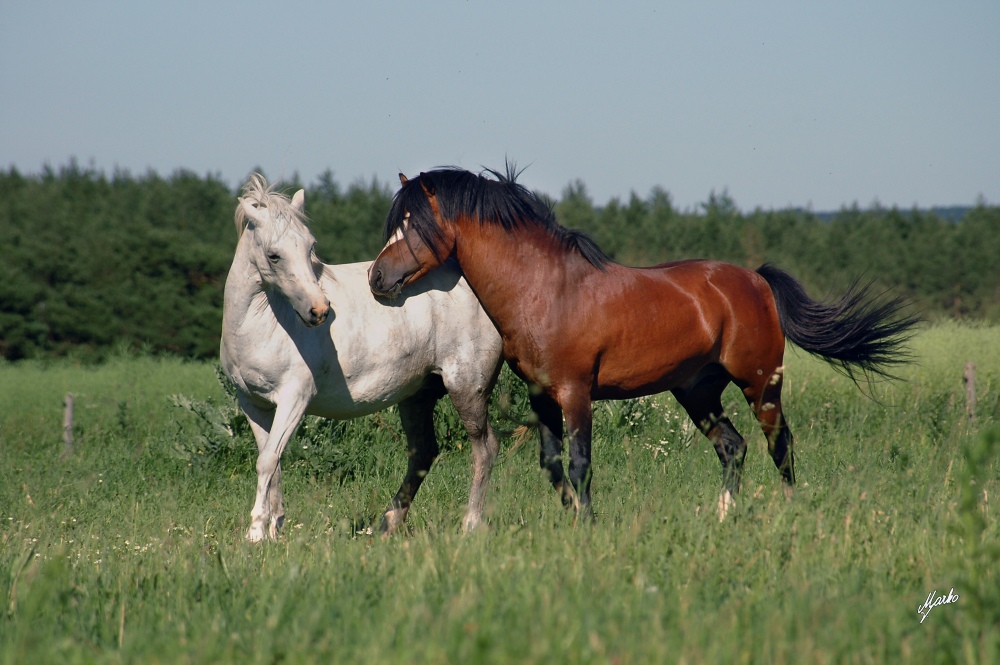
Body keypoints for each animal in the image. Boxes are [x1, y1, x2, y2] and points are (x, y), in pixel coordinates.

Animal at [219, 174, 500, 544]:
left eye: (309, 247)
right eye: (274, 256)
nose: (319, 310)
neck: (265, 324)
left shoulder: (294, 399)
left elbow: (267, 462)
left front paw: (255, 534)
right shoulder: (253, 403)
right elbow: (272, 463)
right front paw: (273, 529)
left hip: (467, 388)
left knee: (485, 449)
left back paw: (470, 524)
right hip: (417, 396)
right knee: (424, 453)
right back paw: (389, 524)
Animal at [368, 165, 916, 520]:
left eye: (413, 224)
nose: (377, 278)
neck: (546, 288)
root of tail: (756, 281)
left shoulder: (576, 393)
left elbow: (580, 464)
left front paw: (586, 526)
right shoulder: (542, 395)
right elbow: (552, 464)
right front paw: (570, 518)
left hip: (760, 383)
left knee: (779, 444)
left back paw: (789, 512)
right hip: (697, 391)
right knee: (733, 448)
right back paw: (723, 516)